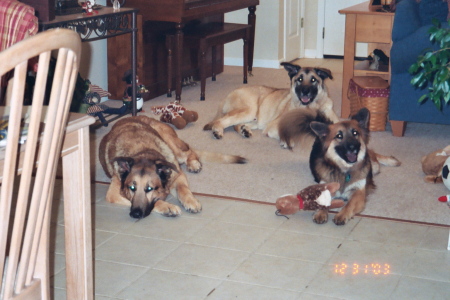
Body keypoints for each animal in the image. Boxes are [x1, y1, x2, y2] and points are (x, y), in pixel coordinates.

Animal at [99, 116, 246, 219]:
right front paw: (167, 207)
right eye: (132, 188)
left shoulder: (178, 175)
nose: (135, 214)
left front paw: (191, 201)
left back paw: (193, 163)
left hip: (173, 146)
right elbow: (157, 201)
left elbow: (183, 189)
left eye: (149, 189)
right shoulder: (114, 194)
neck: (144, 152)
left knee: (190, 151)